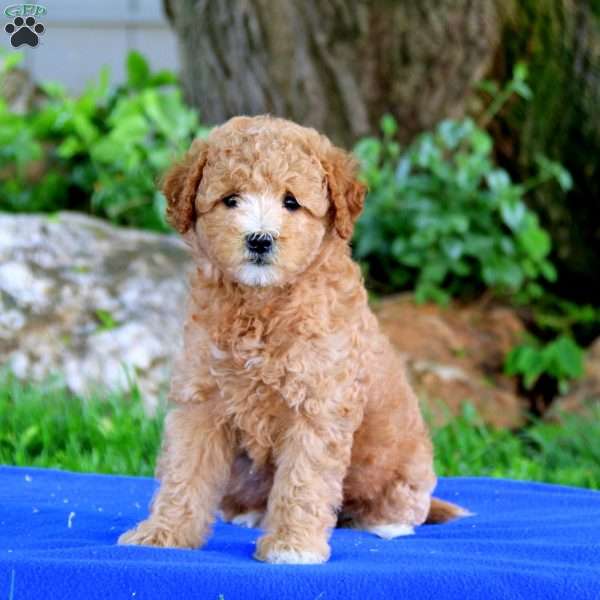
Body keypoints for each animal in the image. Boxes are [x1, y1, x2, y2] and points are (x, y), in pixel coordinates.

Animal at [117, 116, 464, 564]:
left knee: (405, 505)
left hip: (406, 465)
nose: (260, 239)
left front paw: (291, 546)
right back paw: (250, 513)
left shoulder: (317, 407)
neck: (261, 305)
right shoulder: (201, 400)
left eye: (292, 202)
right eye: (231, 199)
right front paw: (164, 533)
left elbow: (303, 483)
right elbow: (184, 472)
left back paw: (387, 523)